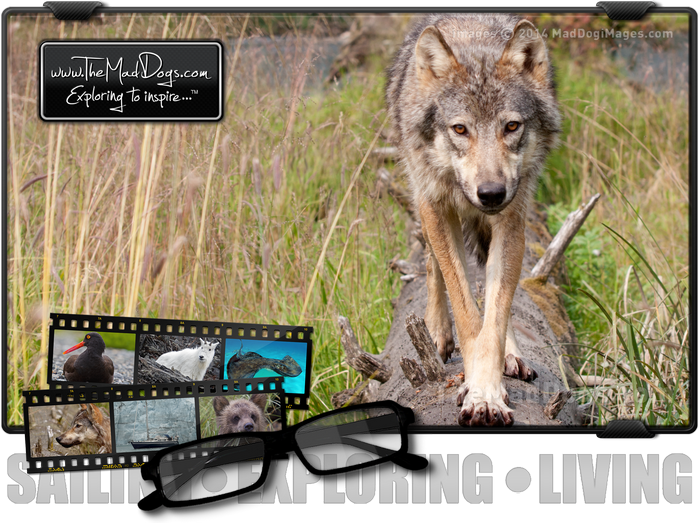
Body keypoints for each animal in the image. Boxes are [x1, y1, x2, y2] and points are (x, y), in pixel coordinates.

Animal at [386, 14, 560, 426]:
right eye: (460, 129)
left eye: (511, 126)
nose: (491, 193)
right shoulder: (437, 206)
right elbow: (465, 310)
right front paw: (476, 389)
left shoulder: (512, 219)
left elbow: (494, 316)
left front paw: (488, 392)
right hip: (424, 200)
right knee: (432, 265)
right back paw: (435, 332)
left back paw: (511, 353)